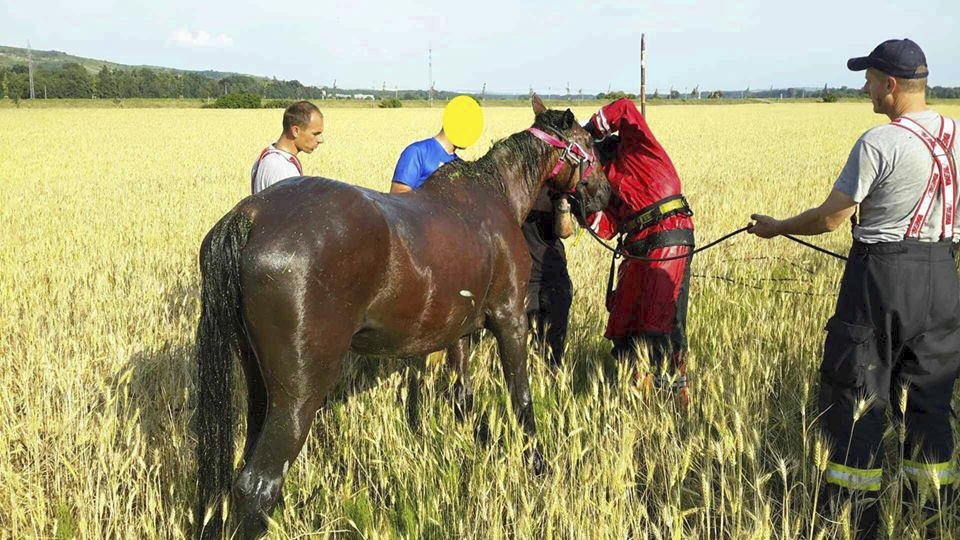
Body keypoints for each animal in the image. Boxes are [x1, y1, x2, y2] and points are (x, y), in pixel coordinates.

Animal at [197, 98, 608, 540]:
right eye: (591, 145)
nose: (605, 194)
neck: (495, 194)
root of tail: (250, 215)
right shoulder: (511, 318)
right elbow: (522, 398)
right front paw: (537, 464)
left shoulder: (458, 330)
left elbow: (462, 394)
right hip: (299, 394)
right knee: (258, 485)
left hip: (259, 381)